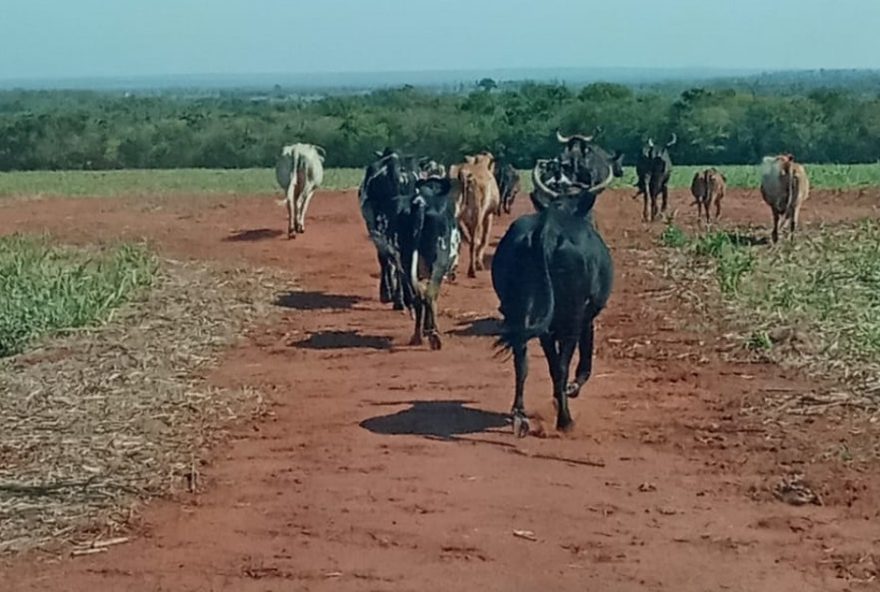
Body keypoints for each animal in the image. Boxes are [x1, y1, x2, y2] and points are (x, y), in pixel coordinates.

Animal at [492, 164, 616, 438]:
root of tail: (546, 229)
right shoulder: (586, 317)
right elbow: (581, 361)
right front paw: (571, 390)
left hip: (521, 311)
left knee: (522, 358)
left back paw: (520, 414)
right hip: (571, 315)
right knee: (561, 365)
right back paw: (565, 420)